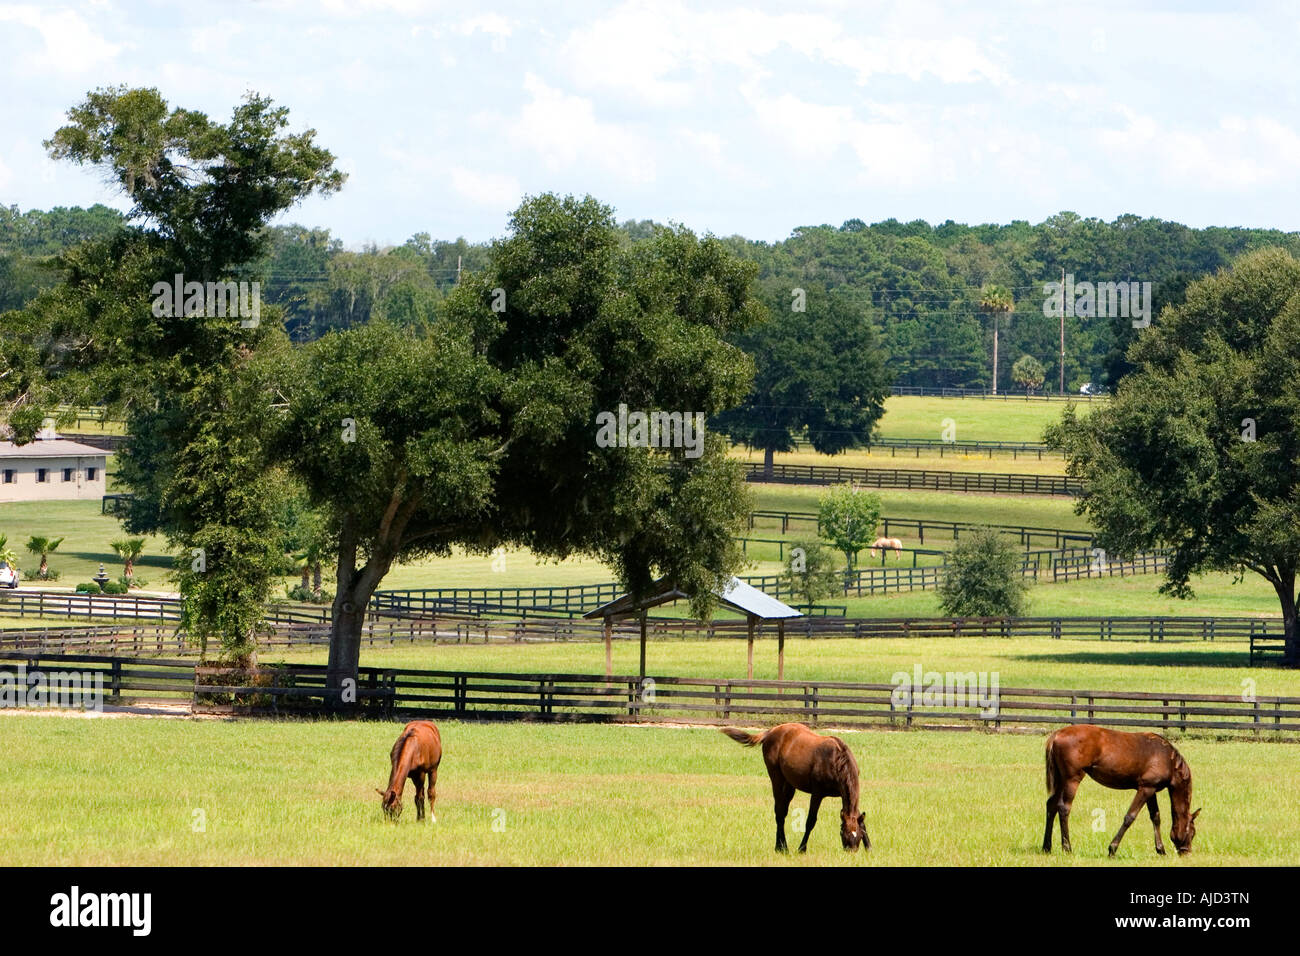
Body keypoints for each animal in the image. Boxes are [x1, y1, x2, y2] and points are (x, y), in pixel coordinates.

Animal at [722, 722, 868, 853]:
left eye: (860, 835)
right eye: (844, 834)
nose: (852, 851)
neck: (836, 760)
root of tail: (771, 731)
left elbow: (861, 820)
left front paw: (869, 848)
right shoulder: (817, 794)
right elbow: (810, 821)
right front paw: (802, 848)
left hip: (789, 785)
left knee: (783, 811)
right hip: (777, 779)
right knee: (779, 812)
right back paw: (781, 848)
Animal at [1043, 724, 1199, 856]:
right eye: (1192, 833)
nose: (1186, 852)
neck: (1168, 759)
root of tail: (1057, 734)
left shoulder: (1151, 790)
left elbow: (1155, 817)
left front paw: (1161, 850)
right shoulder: (1145, 789)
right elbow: (1130, 817)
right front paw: (1112, 848)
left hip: (1060, 780)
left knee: (1051, 805)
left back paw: (1047, 847)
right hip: (1071, 780)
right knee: (1064, 808)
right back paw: (1067, 848)